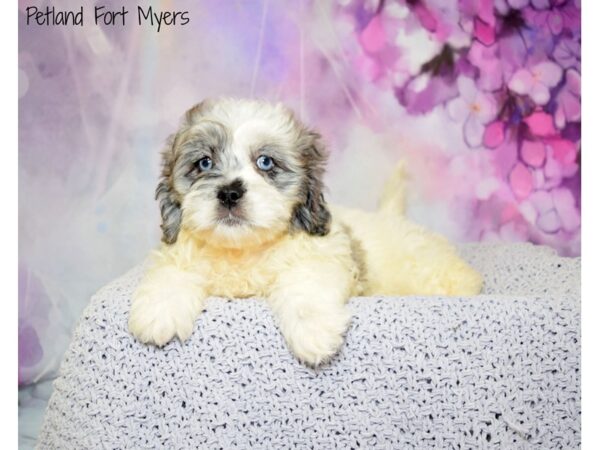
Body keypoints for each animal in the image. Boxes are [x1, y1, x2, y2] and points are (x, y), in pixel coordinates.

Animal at [127, 98, 482, 366]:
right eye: (203, 163)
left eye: (265, 162)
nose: (229, 193)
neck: (243, 251)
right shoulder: (177, 252)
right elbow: (170, 273)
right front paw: (159, 311)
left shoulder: (321, 256)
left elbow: (305, 286)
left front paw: (314, 331)